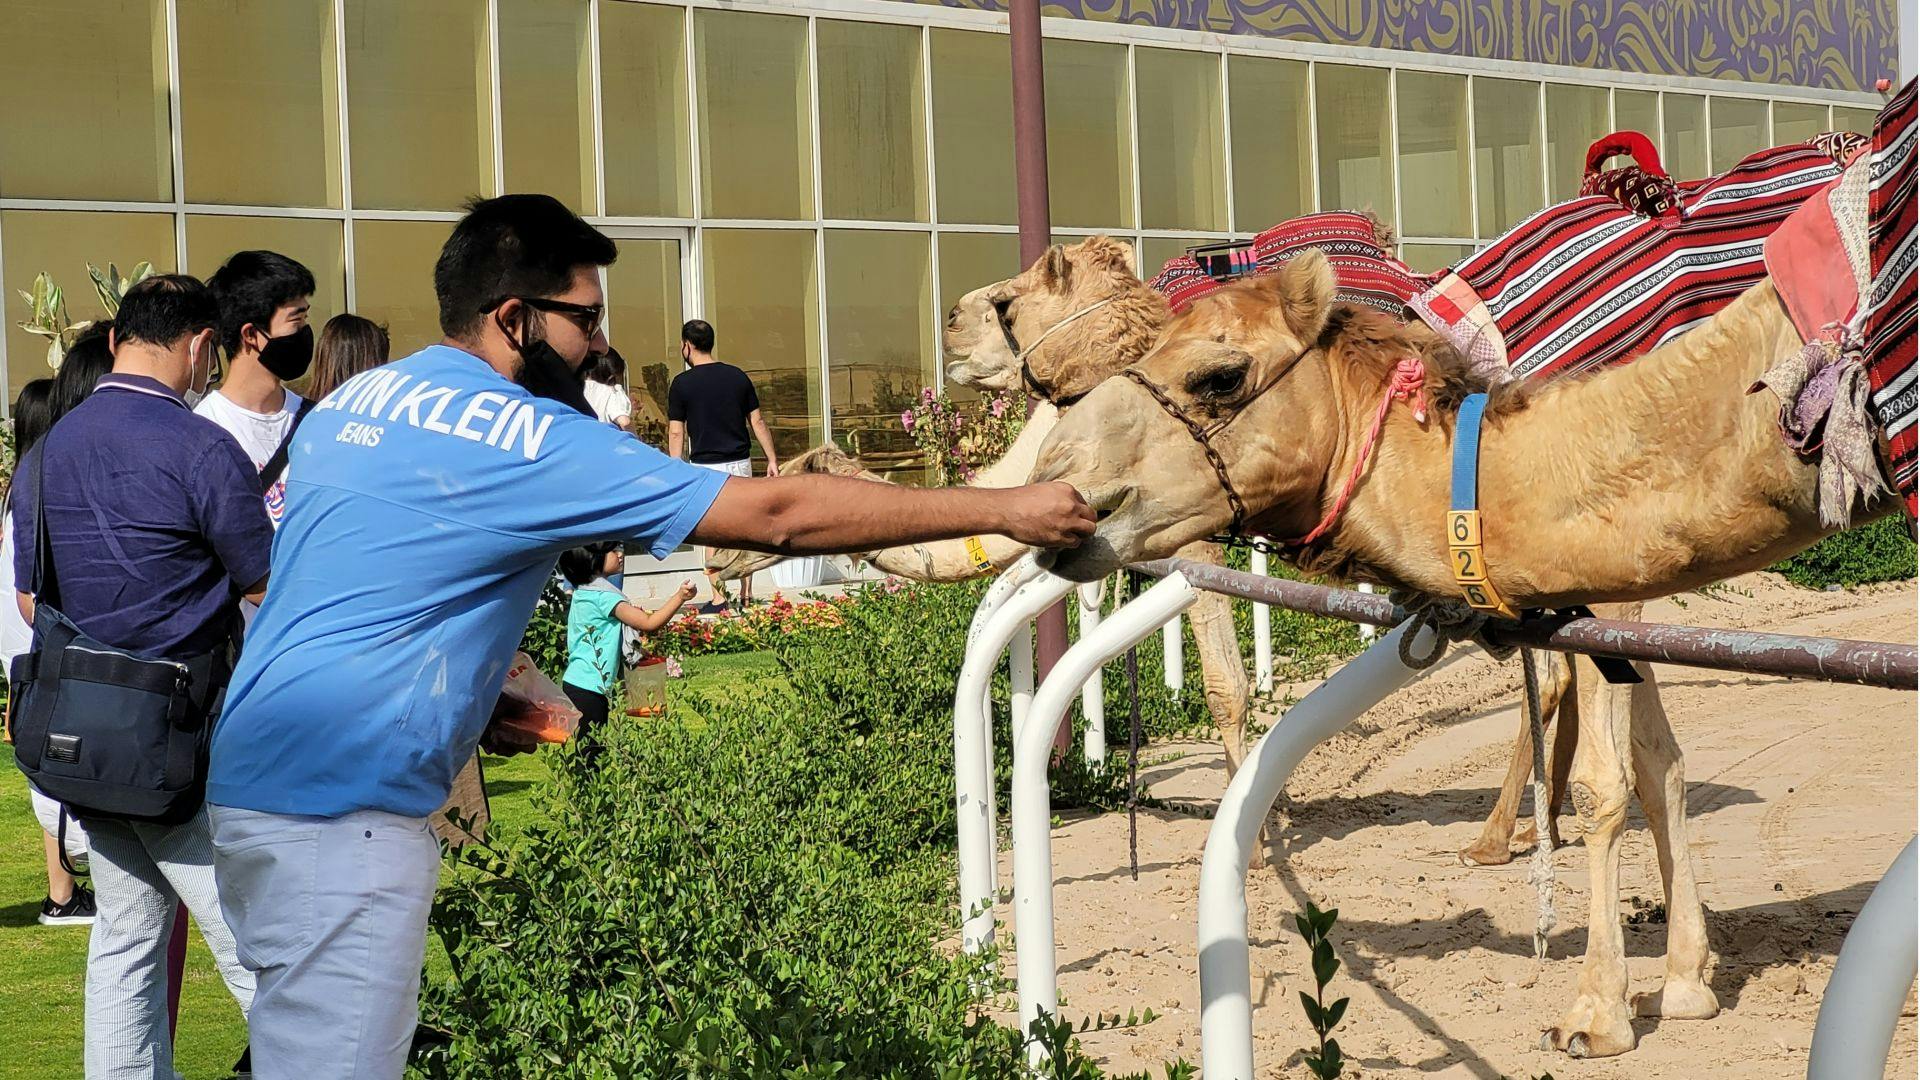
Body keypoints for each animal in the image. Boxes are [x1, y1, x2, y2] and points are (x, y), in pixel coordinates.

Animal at [1028, 248, 1899, 1056]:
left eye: (1219, 375)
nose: (1060, 473)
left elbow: (1605, 783)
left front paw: (1595, 1015)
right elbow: (1659, 763)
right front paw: (1685, 983)